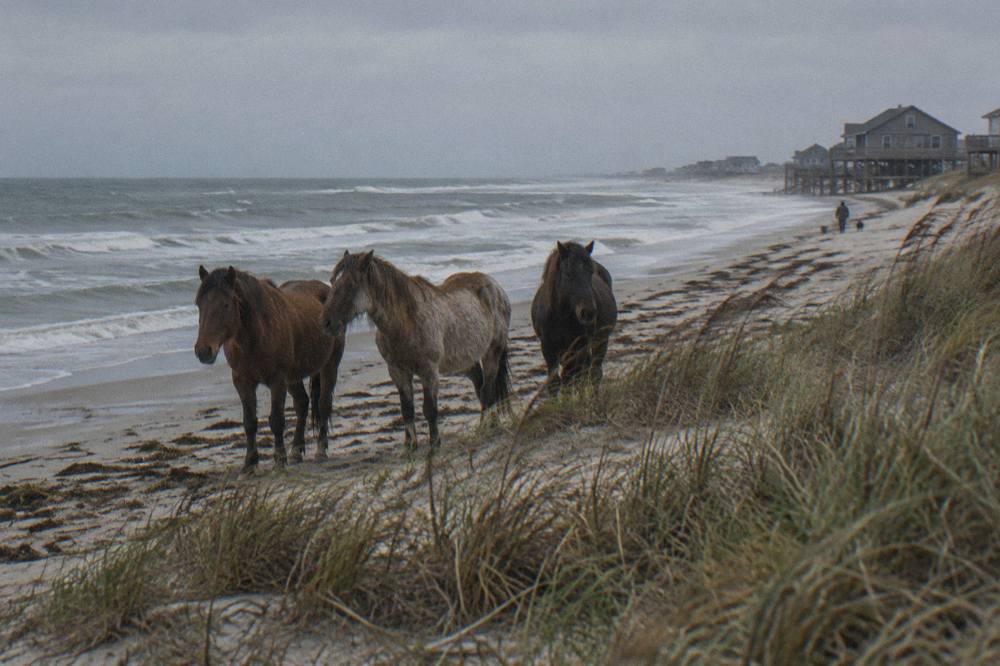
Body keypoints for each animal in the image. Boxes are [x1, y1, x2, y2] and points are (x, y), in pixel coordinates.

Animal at [194, 265, 345, 472]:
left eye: (225, 305)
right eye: (199, 305)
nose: (203, 350)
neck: (256, 334)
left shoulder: (277, 380)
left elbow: (276, 420)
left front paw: (279, 460)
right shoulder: (242, 381)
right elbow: (249, 422)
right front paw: (250, 464)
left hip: (330, 365)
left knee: (323, 404)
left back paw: (320, 450)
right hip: (294, 377)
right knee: (302, 404)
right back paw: (296, 451)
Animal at [321, 250, 512, 449]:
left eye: (350, 284)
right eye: (332, 281)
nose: (326, 322)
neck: (406, 321)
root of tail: (495, 286)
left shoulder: (429, 371)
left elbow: (430, 410)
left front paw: (434, 445)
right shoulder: (397, 371)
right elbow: (407, 410)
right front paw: (410, 446)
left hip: (492, 353)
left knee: (488, 390)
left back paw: (486, 426)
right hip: (466, 361)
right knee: (480, 387)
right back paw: (490, 423)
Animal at [530, 241, 617, 393]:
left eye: (590, 272)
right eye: (568, 273)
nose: (588, 312)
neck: (559, 316)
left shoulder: (579, 346)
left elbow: (573, 378)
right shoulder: (548, 348)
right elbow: (555, 382)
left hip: (600, 341)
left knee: (593, 373)